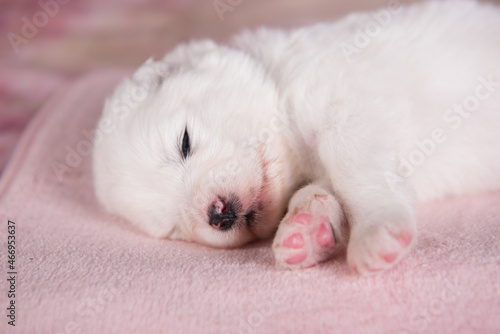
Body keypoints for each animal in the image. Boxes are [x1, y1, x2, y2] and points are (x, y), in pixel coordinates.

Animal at [93, 0, 500, 274]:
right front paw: (307, 230)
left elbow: (352, 167)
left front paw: (375, 231)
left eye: (185, 142)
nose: (218, 214)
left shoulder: (350, 112)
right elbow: (319, 190)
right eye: (173, 229)